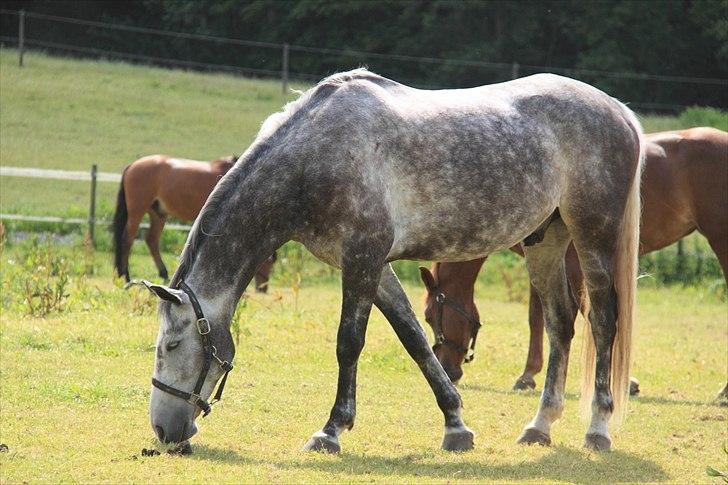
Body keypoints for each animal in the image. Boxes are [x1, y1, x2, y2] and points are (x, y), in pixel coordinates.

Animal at [114, 153, 276, 290]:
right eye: (267, 262)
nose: (263, 288)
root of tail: (132, 165)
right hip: (137, 211)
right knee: (127, 240)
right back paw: (126, 277)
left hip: (158, 213)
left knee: (152, 240)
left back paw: (164, 276)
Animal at [144, 69, 644, 454]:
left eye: (171, 345)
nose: (165, 431)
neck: (317, 156)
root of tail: (620, 111)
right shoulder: (375, 266)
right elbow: (416, 339)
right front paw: (456, 426)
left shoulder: (362, 260)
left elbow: (349, 344)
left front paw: (331, 431)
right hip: (545, 241)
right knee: (561, 322)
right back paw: (539, 426)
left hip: (593, 237)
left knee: (603, 320)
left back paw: (598, 428)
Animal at [420, 126, 728, 398]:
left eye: (429, 316)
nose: (446, 370)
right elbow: (537, 316)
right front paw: (529, 374)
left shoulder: (574, 263)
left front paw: (624, 380)